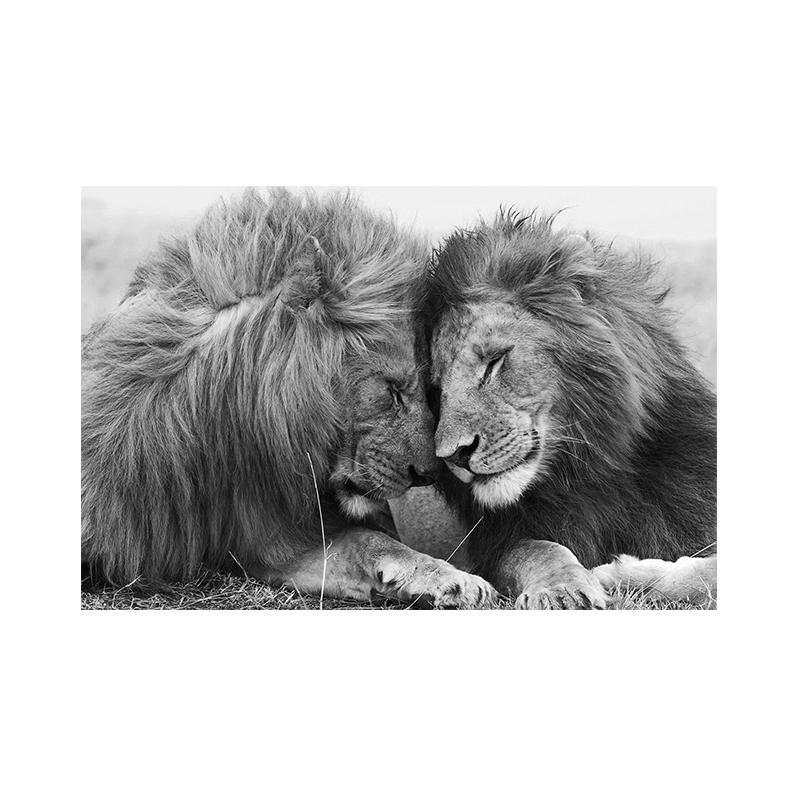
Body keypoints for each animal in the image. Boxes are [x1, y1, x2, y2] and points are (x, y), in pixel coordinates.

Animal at [422, 210, 716, 609]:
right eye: (437, 390)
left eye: (494, 362)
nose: (454, 456)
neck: (590, 470)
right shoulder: (499, 542)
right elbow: (539, 549)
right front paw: (563, 589)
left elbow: (709, 571)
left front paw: (625, 574)